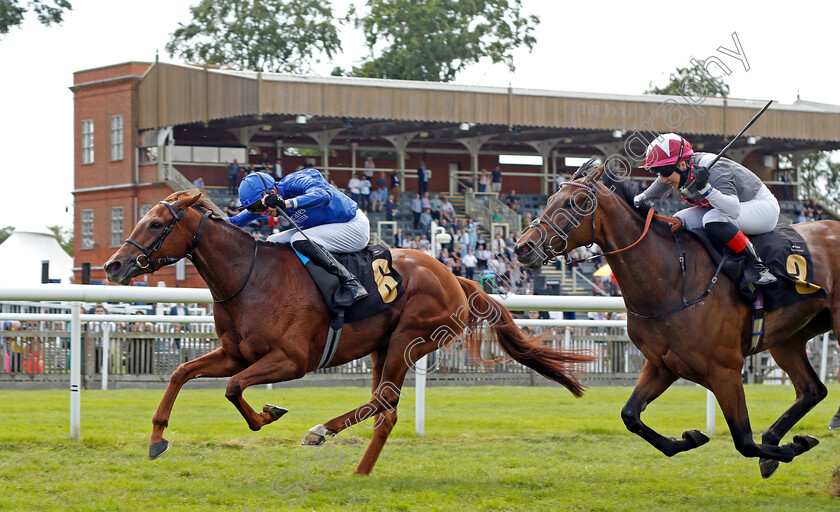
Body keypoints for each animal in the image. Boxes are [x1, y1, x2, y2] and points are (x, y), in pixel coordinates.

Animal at [105, 191, 592, 476]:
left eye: (155, 224)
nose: (113, 265)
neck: (249, 276)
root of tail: (455, 277)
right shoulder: (236, 353)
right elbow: (181, 373)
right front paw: (157, 439)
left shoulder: (291, 361)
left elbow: (233, 388)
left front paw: (268, 414)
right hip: (383, 346)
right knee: (383, 407)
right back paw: (351, 460)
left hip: (408, 340)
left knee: (386, 403)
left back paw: (329, 440)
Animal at [512, 158, 840, 478]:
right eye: (548, 200)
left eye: (573, 203)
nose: (523, 247)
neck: (673, 279)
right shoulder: (662, 364)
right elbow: (630, 415)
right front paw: (690, 438)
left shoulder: (725, 369)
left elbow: (744, 441)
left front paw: (793, 447)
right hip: (787, 339)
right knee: (812, 390)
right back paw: (776, 435)